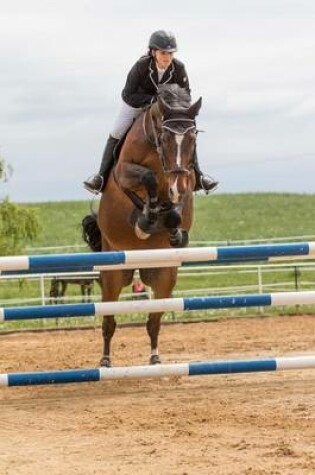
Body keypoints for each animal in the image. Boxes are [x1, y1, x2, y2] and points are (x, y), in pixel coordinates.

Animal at [82, 84, 202, 368]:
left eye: (193, 138)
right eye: (166, 137)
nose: (176, 185)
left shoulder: (187, 180)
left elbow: (176, 209)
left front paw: (173, 230)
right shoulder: (124, 173)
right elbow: (146, 181)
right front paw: (145, 220)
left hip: (163, 277)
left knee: (153, 321)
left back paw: (155, 357)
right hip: (113, 275)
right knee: (109, 321)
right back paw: (105, 360)